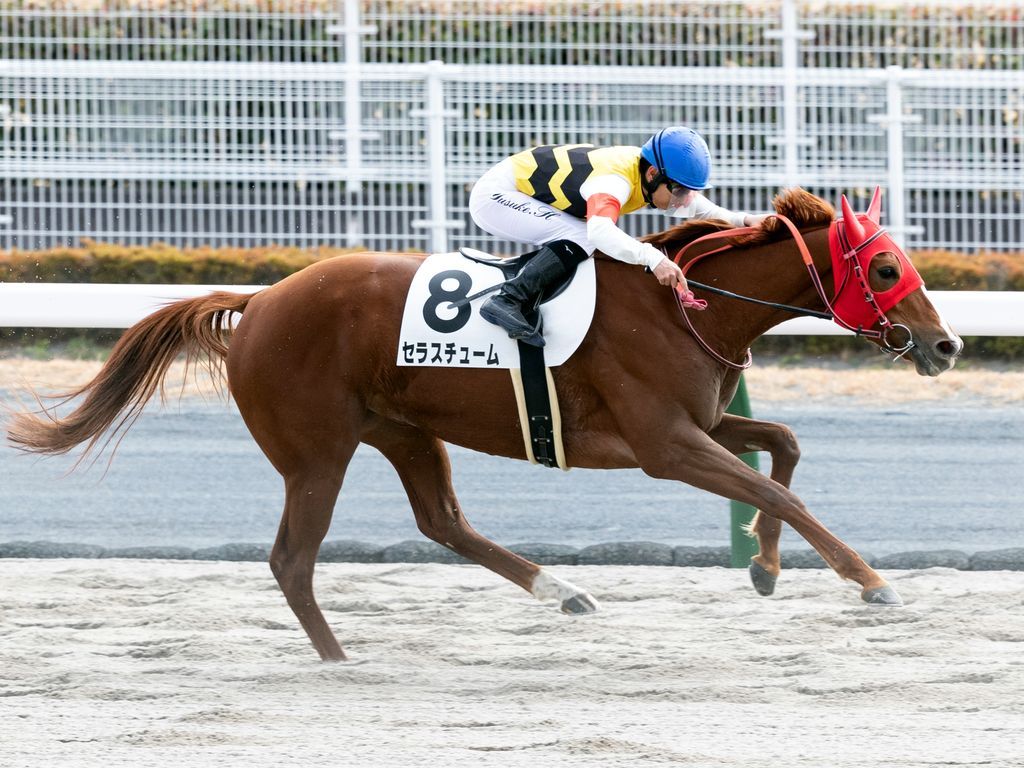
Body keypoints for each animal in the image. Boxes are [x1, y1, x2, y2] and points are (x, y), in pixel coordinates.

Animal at [7, 187, 963, 661]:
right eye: (886, 268)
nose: (946, 343)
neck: (686, 305)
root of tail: (259, 299)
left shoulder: (697, 426)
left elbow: (783, 453)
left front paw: (763, 567)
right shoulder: (664, 447)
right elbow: (782, 490)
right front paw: (870, 582)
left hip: (402, 428)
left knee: (442, 521)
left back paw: (563, 591)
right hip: (315, 450)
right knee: (292, 558)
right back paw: (338, 659)